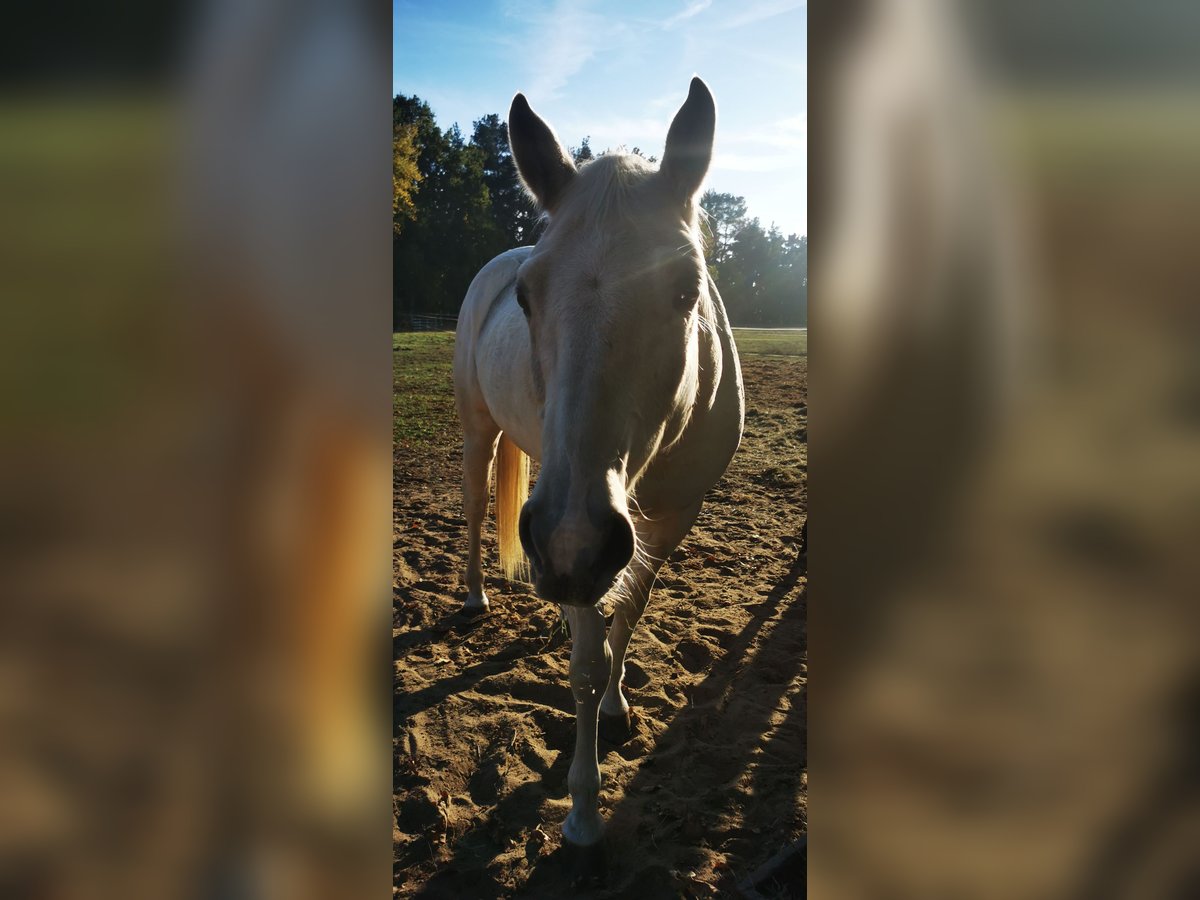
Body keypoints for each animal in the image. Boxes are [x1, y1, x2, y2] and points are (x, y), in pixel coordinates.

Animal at [453, 79, 744, 854]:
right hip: (481, 433)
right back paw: (477, 596)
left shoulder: (669, 521)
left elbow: (629, 614)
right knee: (475, 509)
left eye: (686, 291)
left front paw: (616, 702)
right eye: (527, 297)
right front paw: (583, 809)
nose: (569, 544)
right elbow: (583, 664)